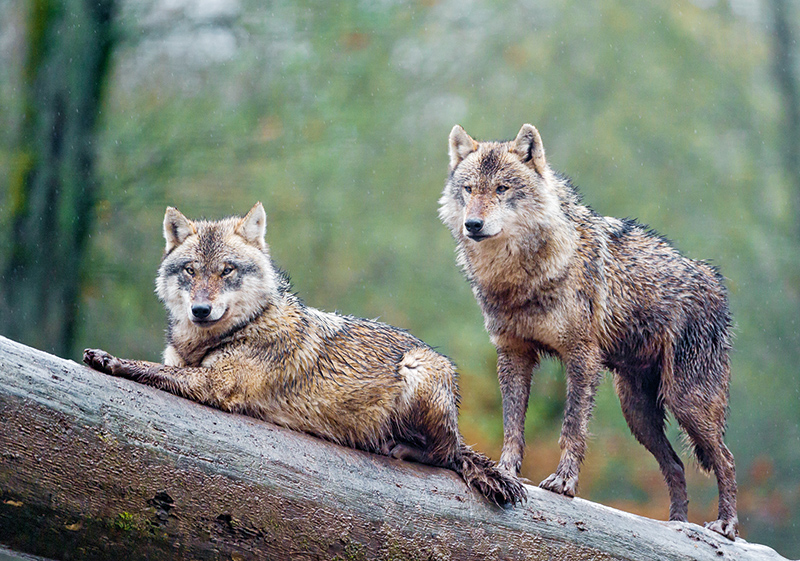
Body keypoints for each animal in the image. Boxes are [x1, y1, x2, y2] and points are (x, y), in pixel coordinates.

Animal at [83, 202, 524, 508]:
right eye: (191, 270)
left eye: (227, 270)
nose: (200, 310)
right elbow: (160, 366)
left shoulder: (216, 384)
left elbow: (146, 367)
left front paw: (109, 359)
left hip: (418, 369)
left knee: (446, 454)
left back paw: (402, 448)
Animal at [440, 123, 740, 540]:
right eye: (469, 189)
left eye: (501, 188)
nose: (473, 225)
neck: (521, 277)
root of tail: (713, 280)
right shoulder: (513, 354)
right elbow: (512, 425)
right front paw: (504, 472)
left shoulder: (581, 356)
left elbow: (572, 427)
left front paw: (564, 483)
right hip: (638, 413)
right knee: (677, 465)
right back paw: (677, 526)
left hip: (686, 402)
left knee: (725, 459)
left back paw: (725, 525)